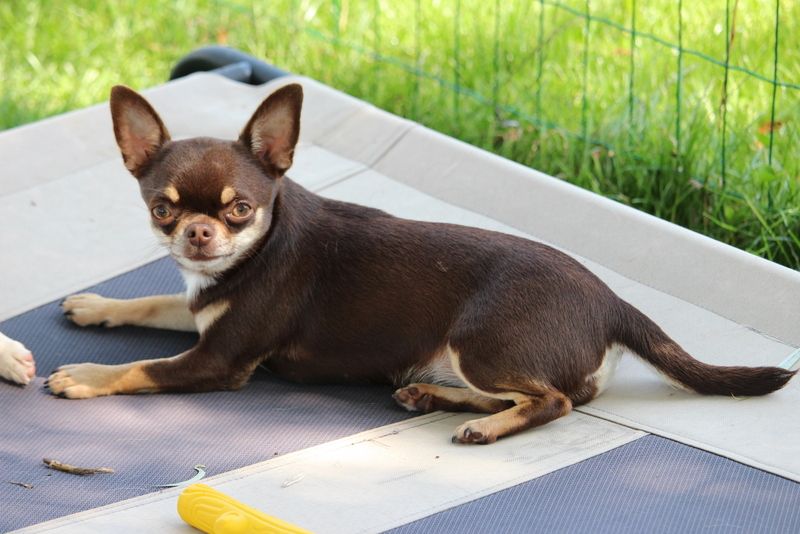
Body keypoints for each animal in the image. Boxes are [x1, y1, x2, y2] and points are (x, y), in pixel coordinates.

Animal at [47, 84, 796, 444]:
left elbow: (146, 368)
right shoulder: (204, 311)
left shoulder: (220, 360)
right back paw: (434, 397)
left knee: (549, 401)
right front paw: (97, 305)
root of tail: (615, 303)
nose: (199, 234)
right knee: (528, 394)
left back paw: (481, 424)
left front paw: (86, 374)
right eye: (163, 209)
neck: (251, 255)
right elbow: (155, 301)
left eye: (240, 210)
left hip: (481, 340)